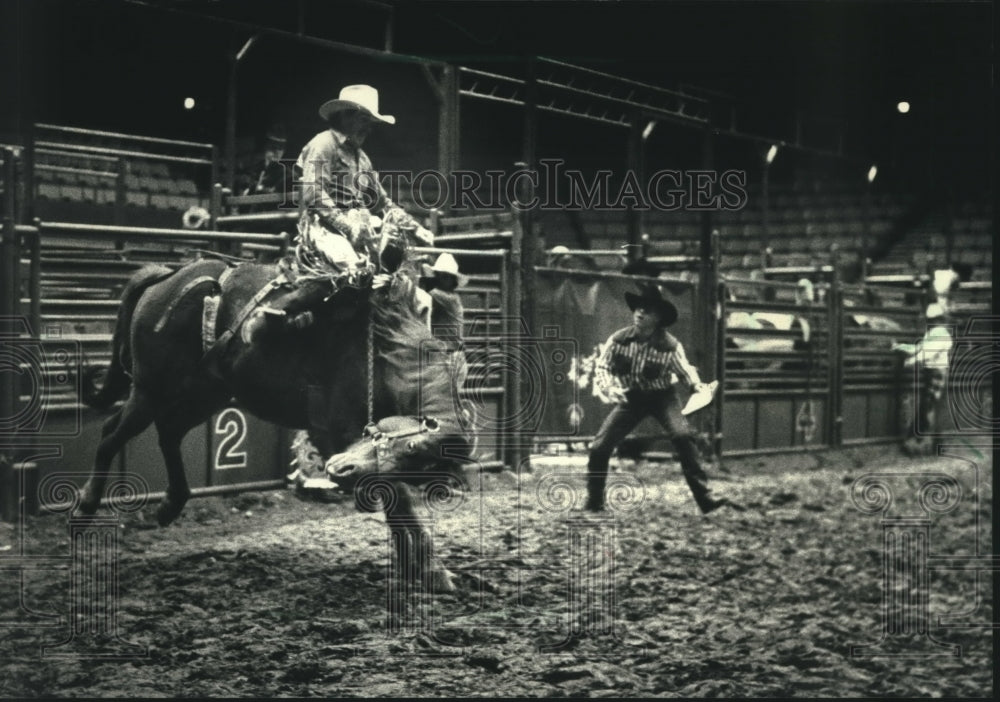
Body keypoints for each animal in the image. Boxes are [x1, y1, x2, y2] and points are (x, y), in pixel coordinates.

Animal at [76, 249, 474, 592]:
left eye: (424, 464)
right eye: (411, 446)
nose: (339, 470)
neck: (385, 349)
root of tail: (168, 276)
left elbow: (396, 501)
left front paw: (416, 566)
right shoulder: (338, 428)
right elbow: (399, 500)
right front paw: (433, 570)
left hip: (206, 392)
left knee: (169, 431)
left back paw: (170, 503)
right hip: (151, 388)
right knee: (112, 434)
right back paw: (85, 508)